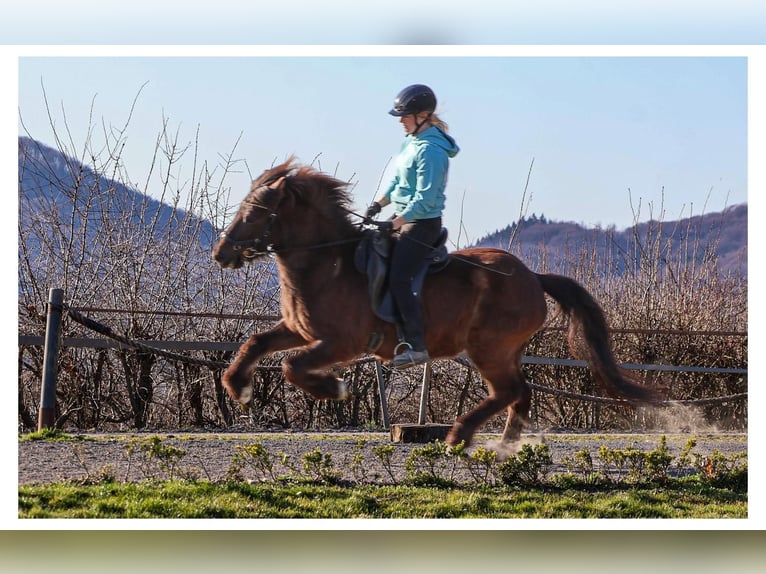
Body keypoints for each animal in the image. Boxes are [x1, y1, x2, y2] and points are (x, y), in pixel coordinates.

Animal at [212, 157, 659, 449]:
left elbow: (291, 365)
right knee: (521, 393)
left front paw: (334, 388)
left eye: (256, 211)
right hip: (506, 350)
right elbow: (256, 343)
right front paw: (238, 387)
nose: (221, 253)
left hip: (488, 349)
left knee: (510, 390)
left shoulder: (341, 342)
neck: (328, 262)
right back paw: (503, 447)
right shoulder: (299, 330)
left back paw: (460, 435)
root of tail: (533, 276)